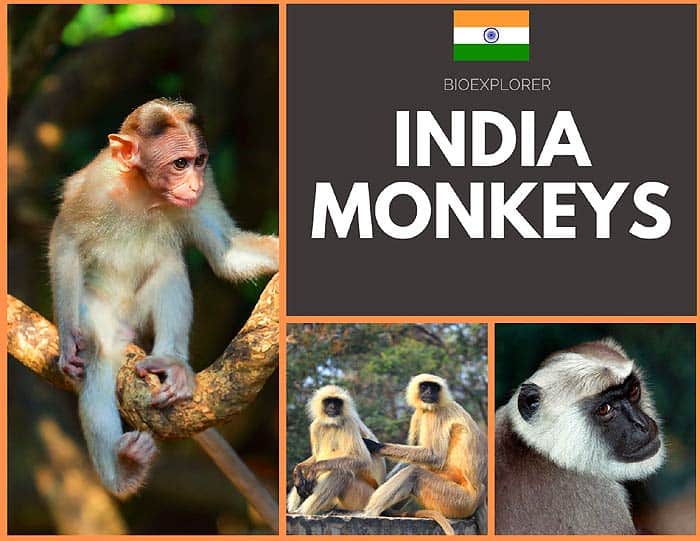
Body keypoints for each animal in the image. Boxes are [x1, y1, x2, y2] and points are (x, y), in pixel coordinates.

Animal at [49, 99, 278, 499]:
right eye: (179, 163)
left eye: (199, 160)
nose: (194, 183)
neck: (144, 189)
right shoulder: (93, 189)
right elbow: (65, 243)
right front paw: (66, 340)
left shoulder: (210, 184)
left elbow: (225, 251)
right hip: (97, 311)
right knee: (99, 358)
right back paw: (124, 471)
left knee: (170, 265)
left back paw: (172, 364)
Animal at [287, 385, 386, 515]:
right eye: (328, 401)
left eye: (337, 402)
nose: (332, 407)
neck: (332, 424)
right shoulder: (315, 426)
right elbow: (315, 458)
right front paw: (298, 469)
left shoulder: (349, 422)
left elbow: (362, 459)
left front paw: (313, 468)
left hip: (365, 497)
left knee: (340, 472)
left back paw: (302, 511)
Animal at [363, 374, 487, 534]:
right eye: (424, 386)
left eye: (434, 388)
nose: (429, 392)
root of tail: (480, 495)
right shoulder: (420, 412)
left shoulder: (435, 414)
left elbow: (435, 456)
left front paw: (375, 446)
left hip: (458, 500)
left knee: (414, 473)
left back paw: (370, 513)